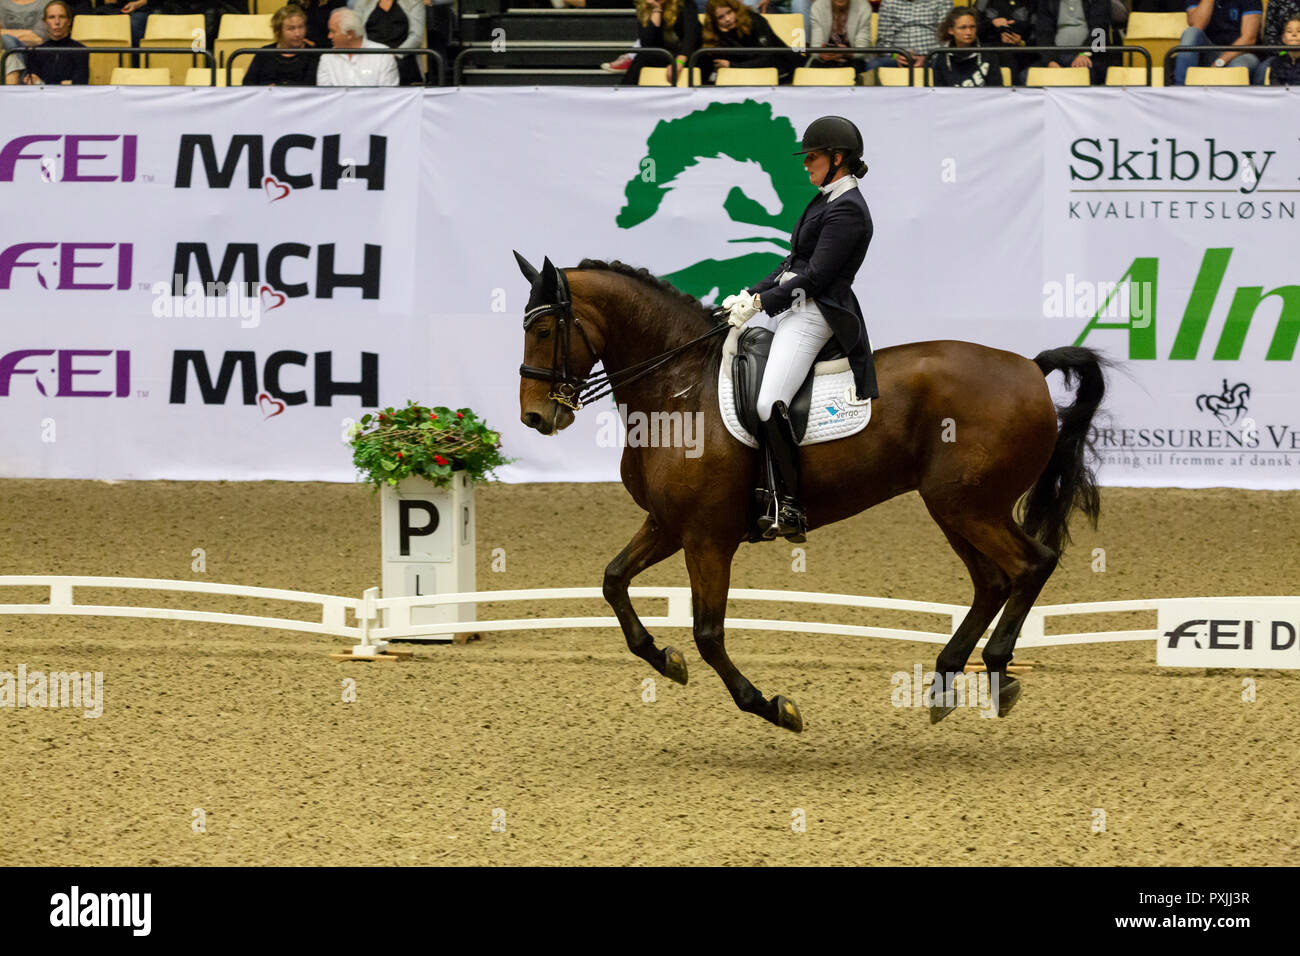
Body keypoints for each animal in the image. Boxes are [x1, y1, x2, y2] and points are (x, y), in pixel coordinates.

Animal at [512, 254, 1102, 733]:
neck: (677, 389)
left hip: (970, 506)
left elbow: (708, 633)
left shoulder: (706, 537)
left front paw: (773, 707)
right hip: (953, 508)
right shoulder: (667, 524)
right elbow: (614, 581)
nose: (536, 417)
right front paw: (666, 660)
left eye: (542, 328)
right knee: (992, 581)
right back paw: (944, 681)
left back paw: (998, 671)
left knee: (1031, 564)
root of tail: (1030, 367)